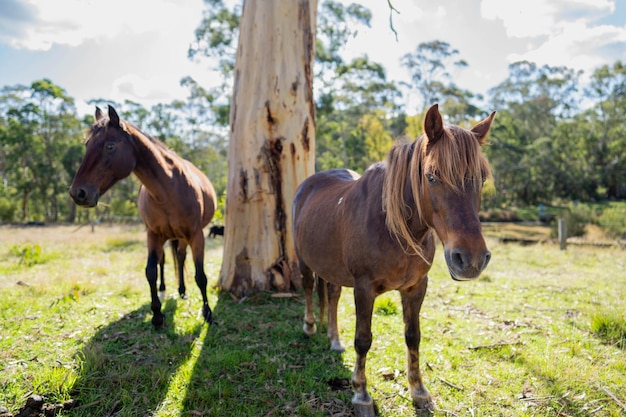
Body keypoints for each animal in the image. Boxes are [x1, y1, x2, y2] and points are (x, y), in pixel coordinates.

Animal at [69, 105, 216, 328]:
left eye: (110, 146)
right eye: (87, 144)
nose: (78, 193)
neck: (168, 191)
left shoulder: (196, 235)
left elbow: (201, 276)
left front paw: (207, 312)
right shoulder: (153, 235)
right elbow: (151, 271)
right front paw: (156, 314)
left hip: (182, 237)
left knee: (180, 257)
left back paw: (182, 291)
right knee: (166, 260)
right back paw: (166, 289)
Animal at [292, 103, 492, 412]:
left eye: (481, 179)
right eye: (432, 176)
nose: (471, 259)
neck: (394, 228)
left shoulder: (416, 287)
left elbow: (413, 337)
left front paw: (419, 391)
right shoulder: (364, 288)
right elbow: (363, 340)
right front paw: (361, 393)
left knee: (333, 296)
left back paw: (334, 340)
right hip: (303, 260)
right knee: (307, 287)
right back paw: (311, 326)